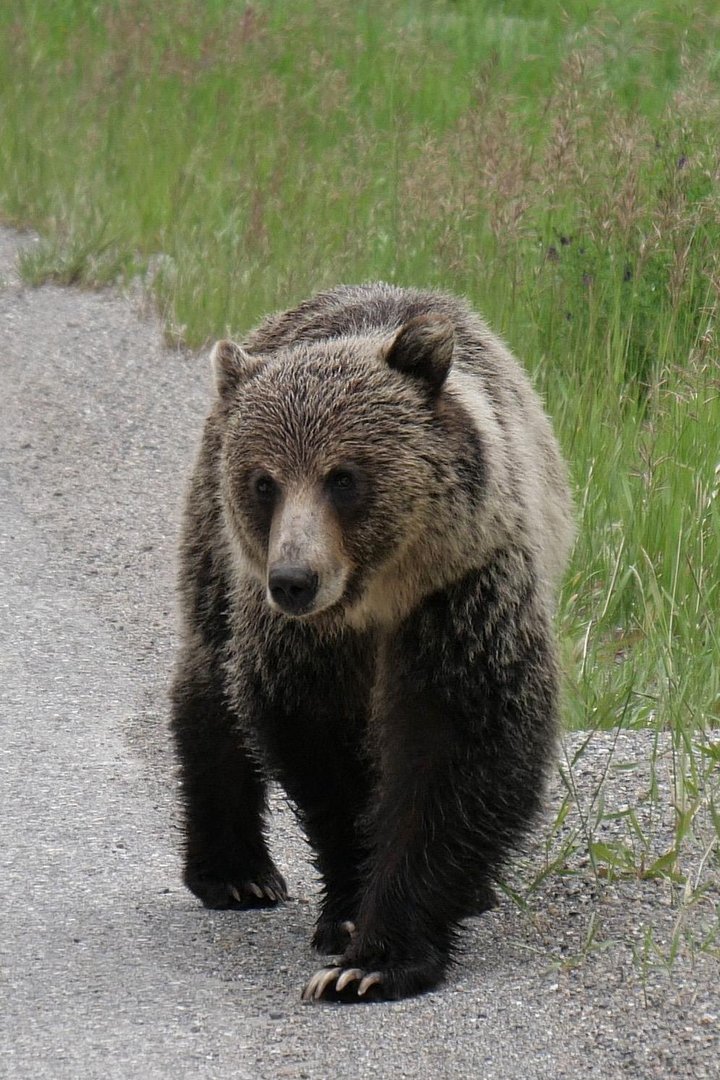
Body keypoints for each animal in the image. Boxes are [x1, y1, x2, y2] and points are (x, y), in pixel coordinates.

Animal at [170, 280, 574, 1002]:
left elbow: (455, 748)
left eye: (344, 477)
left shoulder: (462, 593)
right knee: (213, 679)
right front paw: (349, 913)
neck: (378, 595)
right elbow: (321, 750)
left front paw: (375, 959)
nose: (294, 580)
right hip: (217, 551)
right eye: (264, 481)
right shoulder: (305, 642)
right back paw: (236, 871)